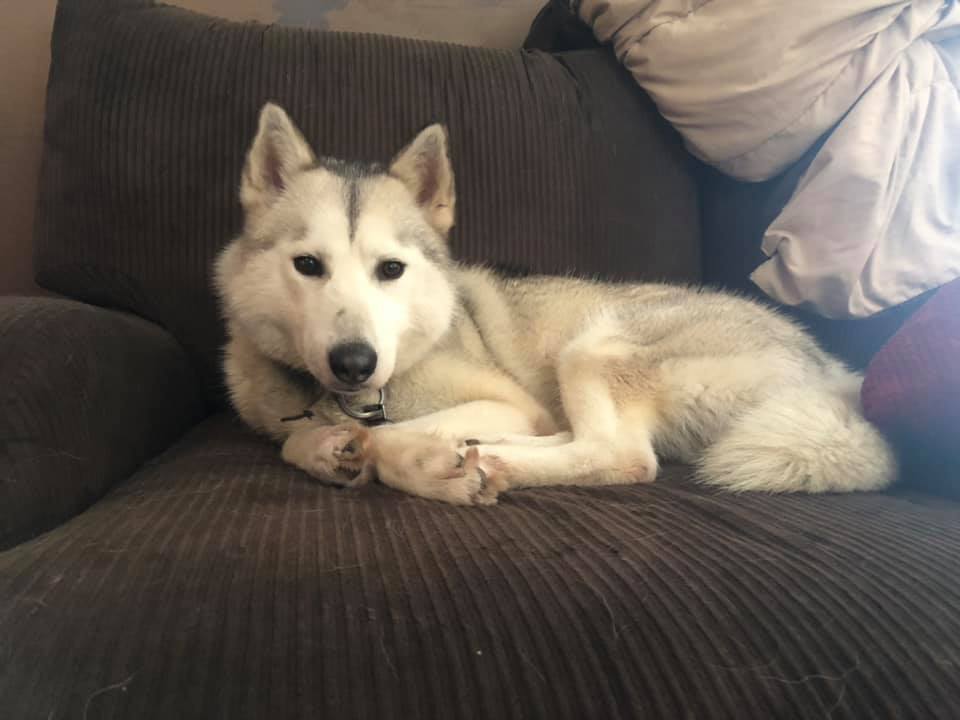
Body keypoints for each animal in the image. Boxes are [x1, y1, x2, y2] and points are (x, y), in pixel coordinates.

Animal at [214, 102, 896, 506]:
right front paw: (329, 449)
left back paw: (492, 460)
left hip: (597, 347)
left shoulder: (505, 400)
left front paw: (417, 462)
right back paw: (485, 449)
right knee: (578, 437)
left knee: (618, 455)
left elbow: (390, 436)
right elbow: (296, 439)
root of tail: (834, 374)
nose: (354, 363)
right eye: (308, 265)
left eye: (391, 270)